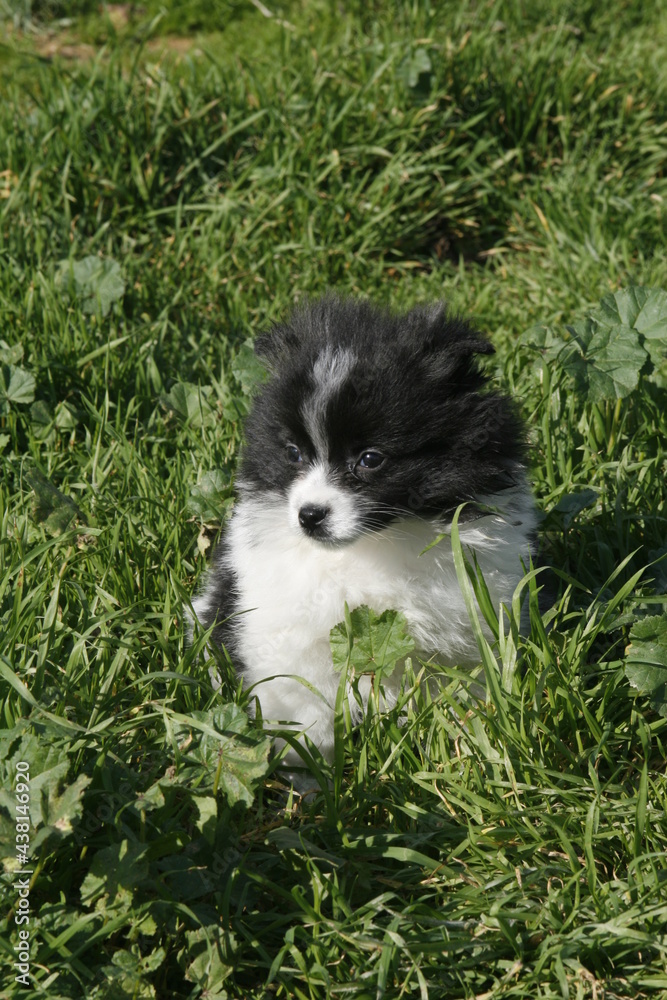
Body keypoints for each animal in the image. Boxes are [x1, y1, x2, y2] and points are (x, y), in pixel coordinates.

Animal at [190, 298, 540, 780]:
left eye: (370, 459)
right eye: (293, 453)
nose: (309, 516)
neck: (370, 548)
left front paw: (467, 748)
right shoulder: (288, 636)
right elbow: (303, 707)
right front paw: (308, 771)